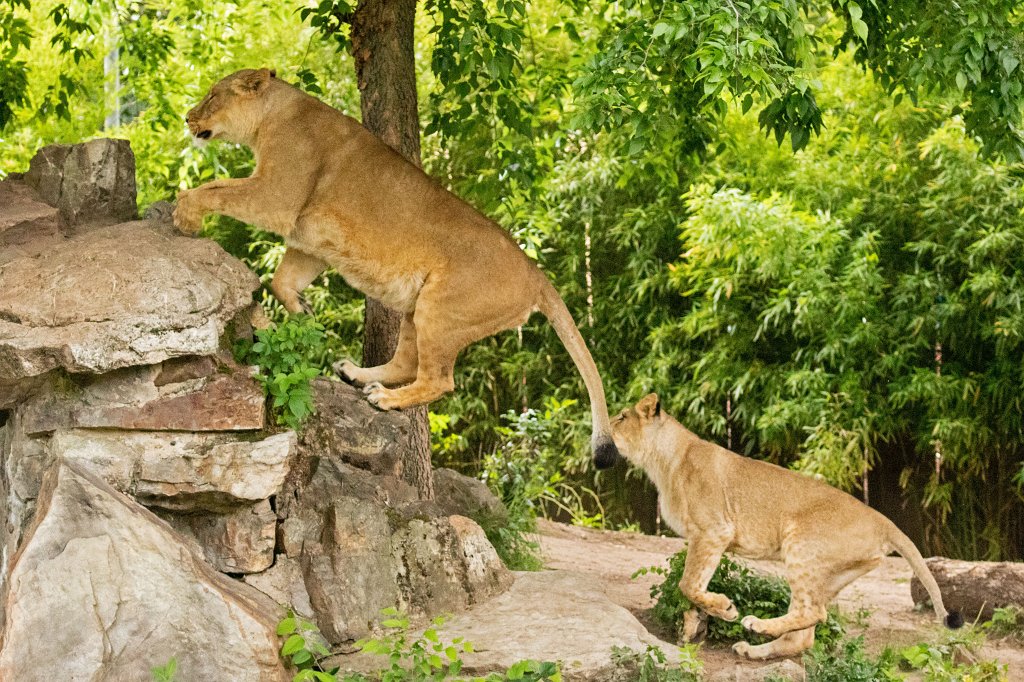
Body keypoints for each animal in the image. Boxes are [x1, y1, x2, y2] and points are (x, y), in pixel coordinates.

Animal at [173, 68, 620, 468]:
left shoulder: (276, 196)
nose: (187, 117)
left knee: (438, 379)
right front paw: (304, 312)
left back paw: (384, 398)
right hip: (416, 306)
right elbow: (282, 280)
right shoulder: (308, 239)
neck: (271, 115)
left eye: (212, 95)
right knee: (407, 363)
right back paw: (355, 374)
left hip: (441, 308)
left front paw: (184, 216)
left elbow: (211, 190)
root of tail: (536, 272)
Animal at [610, 394, 962, 659]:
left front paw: (726, 609)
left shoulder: (714, 531)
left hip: (800, 544)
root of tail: (883, 520)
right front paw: (692, 628)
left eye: (621, 418)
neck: (662, 462)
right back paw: (754, 650)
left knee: (814, 613)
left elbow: (687, 584)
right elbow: (692, 586)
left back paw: (755, 625)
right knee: (805, 631)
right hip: (830, 574)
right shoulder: (703, 538)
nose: (605, 425)